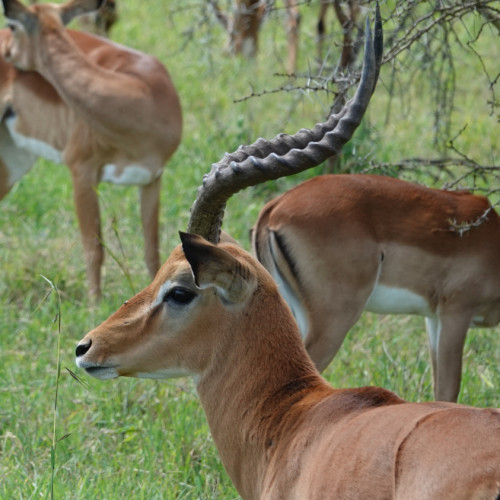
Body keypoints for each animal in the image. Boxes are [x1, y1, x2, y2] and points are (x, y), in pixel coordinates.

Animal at [0, 0, 183, 298]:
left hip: (14, 159)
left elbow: (152, 252)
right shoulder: (82, 171)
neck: (143, 92)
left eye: (13, 27)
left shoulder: (152, 179)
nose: (6, 51)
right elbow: (94, 250)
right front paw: (94, 304)